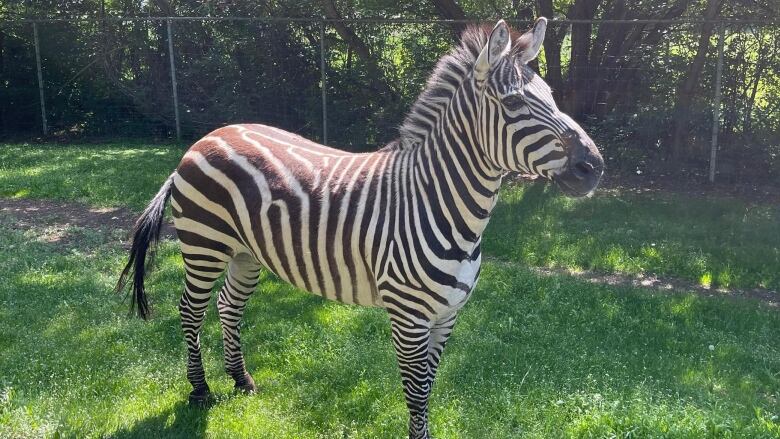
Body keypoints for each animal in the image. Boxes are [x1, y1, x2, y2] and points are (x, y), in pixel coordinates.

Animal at [116, 18, 604, 439]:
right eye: (514, 103)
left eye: (552, 96)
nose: (594, 167)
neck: (444, 205)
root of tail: (205, 137)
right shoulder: (409, 317)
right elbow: (417, 391)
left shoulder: (447, 316)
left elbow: (429, 384)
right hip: (205, 245)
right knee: (190, 310)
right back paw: (200, 390)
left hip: (246, 253)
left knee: (227, 306)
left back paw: (241, 379)